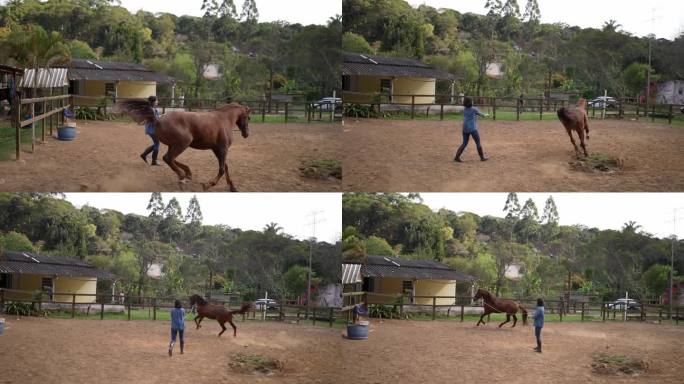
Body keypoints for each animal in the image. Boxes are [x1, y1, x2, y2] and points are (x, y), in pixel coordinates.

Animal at [115, 100, 251, 191]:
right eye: (248, 118)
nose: (246, 134)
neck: (224, 120)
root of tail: (158, 119)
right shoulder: (223, 149)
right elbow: (222, 169)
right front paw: (207, 185)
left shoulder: (217, 149)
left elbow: (226, 167)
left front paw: (233, 187)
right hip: (184, 143)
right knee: (168, 158)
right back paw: (182, 176)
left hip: (175, 144)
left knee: (169, 158)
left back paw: (187, 174)